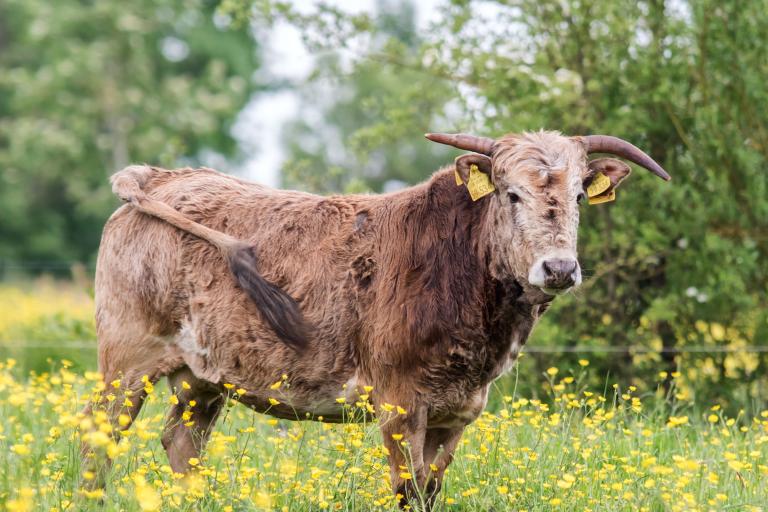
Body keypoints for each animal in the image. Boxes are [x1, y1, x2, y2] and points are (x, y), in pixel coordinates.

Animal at [84, 129, 668, 508]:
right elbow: (408, 490)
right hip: (128, 358)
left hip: (201, 376)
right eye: (511, 193)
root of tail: (164, 176)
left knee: (184, 443)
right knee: (100, 435)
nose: (559, 267)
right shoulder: (400, 403)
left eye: (578, 196)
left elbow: (431, 488)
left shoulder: (459, 410)